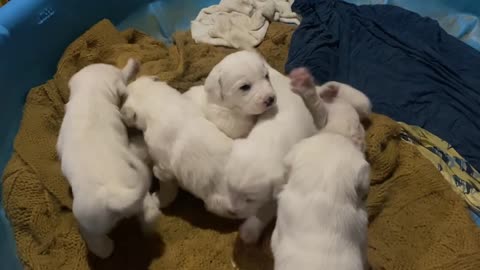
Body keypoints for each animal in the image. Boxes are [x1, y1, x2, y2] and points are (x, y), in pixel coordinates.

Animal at [56, 60, 158, 258]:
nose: (135, 61)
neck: (91, 93)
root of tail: (114, 195)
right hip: (139, 195)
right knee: (150, 213)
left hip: (88, 219)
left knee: (99, 243)